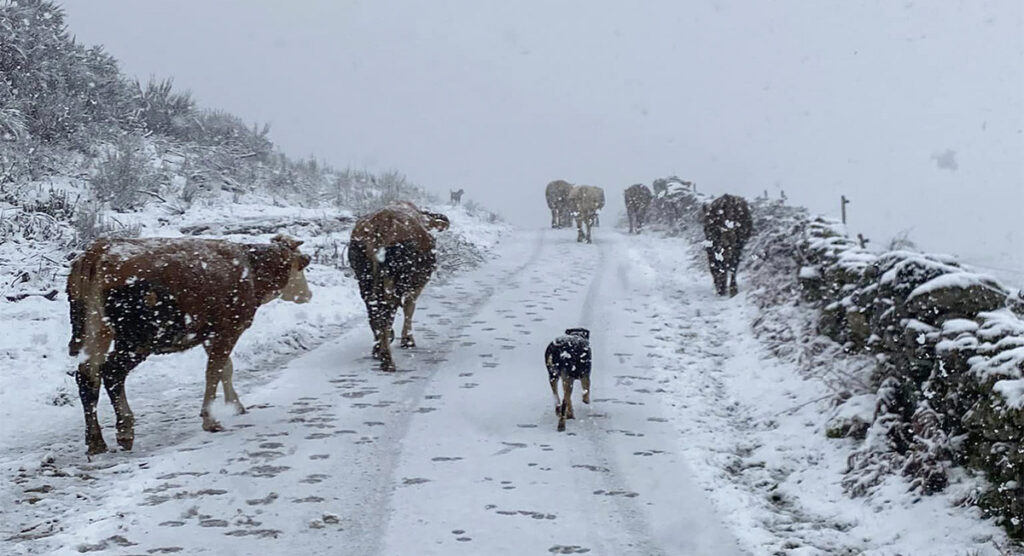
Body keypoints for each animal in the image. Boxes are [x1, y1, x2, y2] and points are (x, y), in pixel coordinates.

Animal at [66, 232, 311, 454]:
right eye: (302, 264)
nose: (308, 294)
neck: (251, 269)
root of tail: (98, 250)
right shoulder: (229, 329)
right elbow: (214, 371)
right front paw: (210, 419)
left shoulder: (210, 335)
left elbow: (226, 368)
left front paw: (236, 405)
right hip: (137, 339)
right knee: (112, 372)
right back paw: (124, 430)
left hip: (96, 331)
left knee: (87, 375)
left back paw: (95, 441)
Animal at [348, 202, 448, 372]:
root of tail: (381, 223)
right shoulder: (417, 284)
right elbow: (409, 307)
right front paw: (407, 340)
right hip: (394, 280)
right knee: (387, 312)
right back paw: (387, 360)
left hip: (365, 278)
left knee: (373, 310)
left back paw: (378, 349)